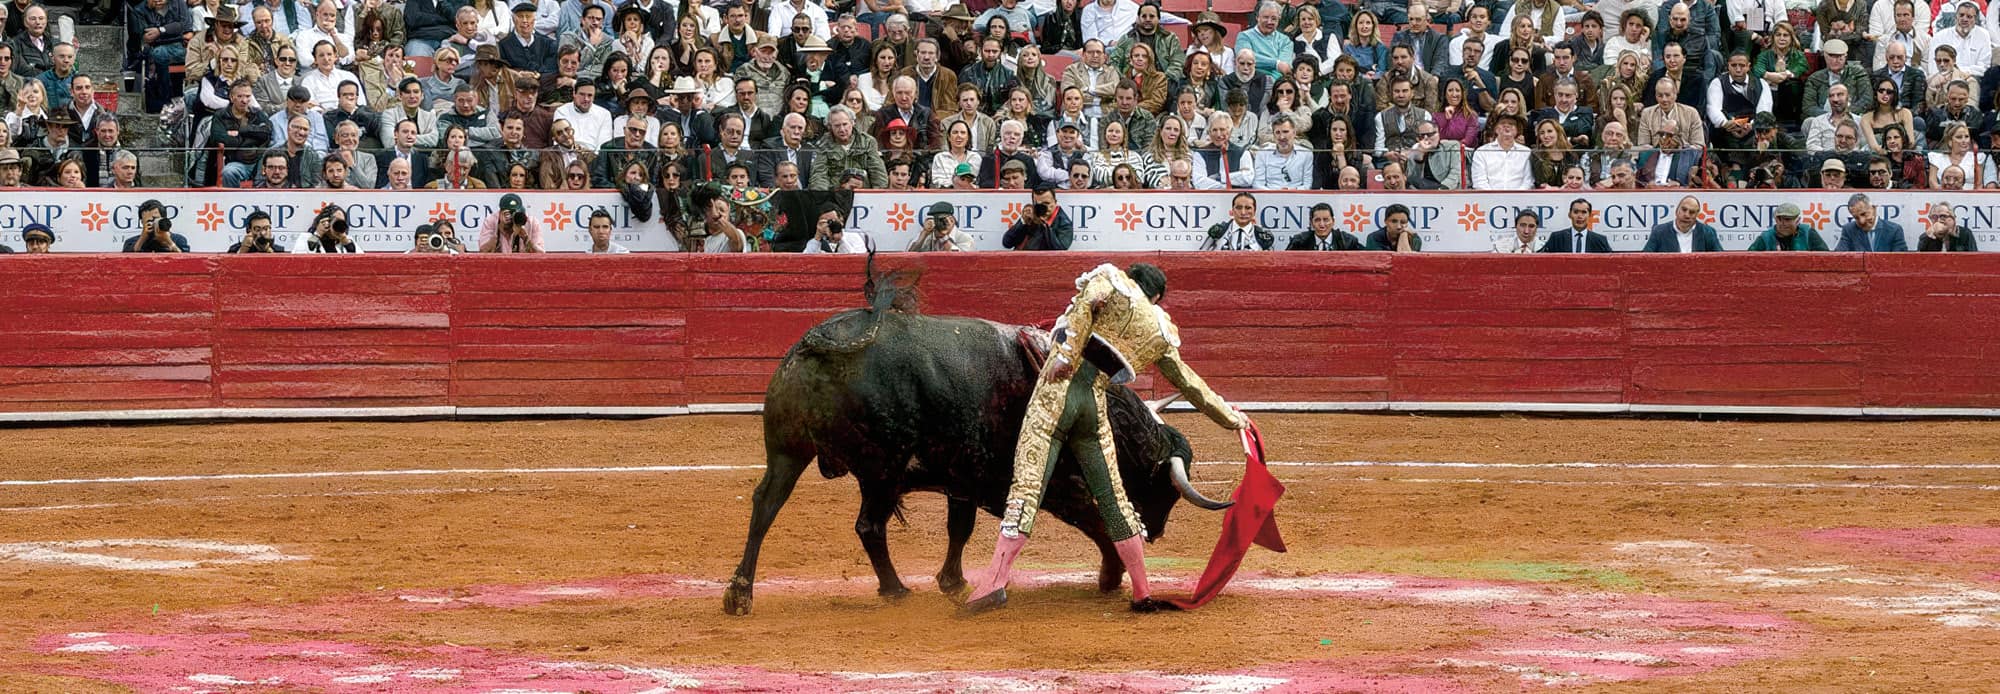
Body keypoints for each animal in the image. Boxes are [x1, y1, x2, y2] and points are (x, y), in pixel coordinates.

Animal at [728, 264, 1224, 616]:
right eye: (1163, 489)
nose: (1157, 532)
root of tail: (821, 340)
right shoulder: (1026, 479)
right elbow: (1093, 516)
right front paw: (1109, 573)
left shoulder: (962, 479)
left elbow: (959, 528)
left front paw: (954, 582)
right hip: (881, 471)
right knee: (868, 526)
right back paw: (895, 590)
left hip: (788, 452)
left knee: (765, 505)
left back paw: (740, 593)